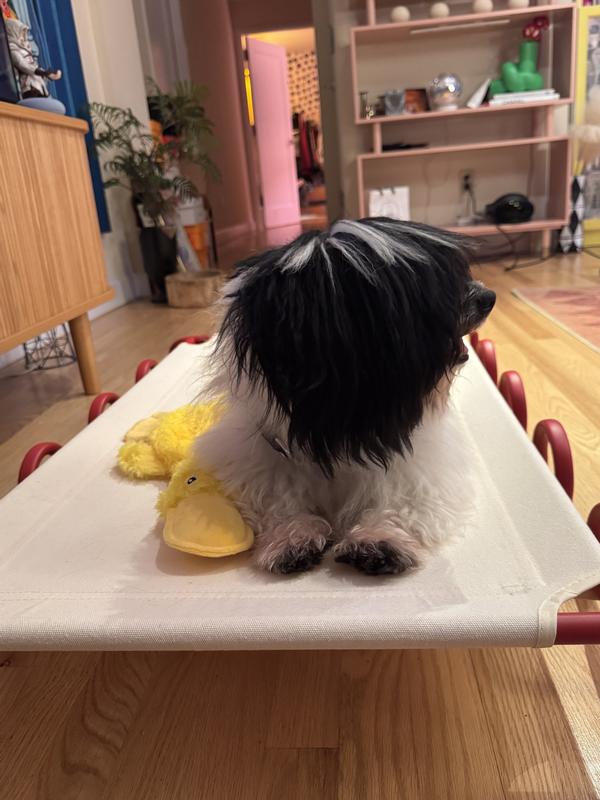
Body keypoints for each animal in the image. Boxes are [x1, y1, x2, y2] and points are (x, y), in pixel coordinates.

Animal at [194, 218, 495, 576]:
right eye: (435, 295)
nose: (489, 296)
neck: (338, 422)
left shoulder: (423, 472)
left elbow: (404, 502)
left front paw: (380, 539)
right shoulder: (261, 457)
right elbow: (276, 501)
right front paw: (292, 536)